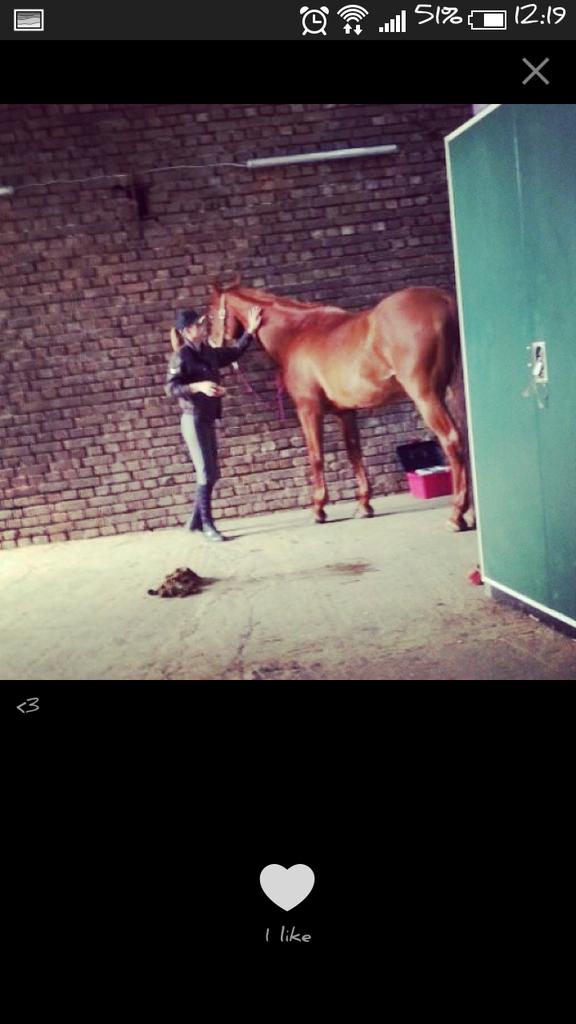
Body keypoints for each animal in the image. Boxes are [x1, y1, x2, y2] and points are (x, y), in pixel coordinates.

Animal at [207, 280, 472, 532]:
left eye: (208, 317)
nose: (212, 346)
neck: (297, 333)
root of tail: (445, 299)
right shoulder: (345, 412)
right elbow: (354, 452)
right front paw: (364, 506)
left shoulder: (308, 409)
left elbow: (316, 456)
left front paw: (318, 510)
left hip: (426, 396)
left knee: (451, 439)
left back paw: (456, 516)